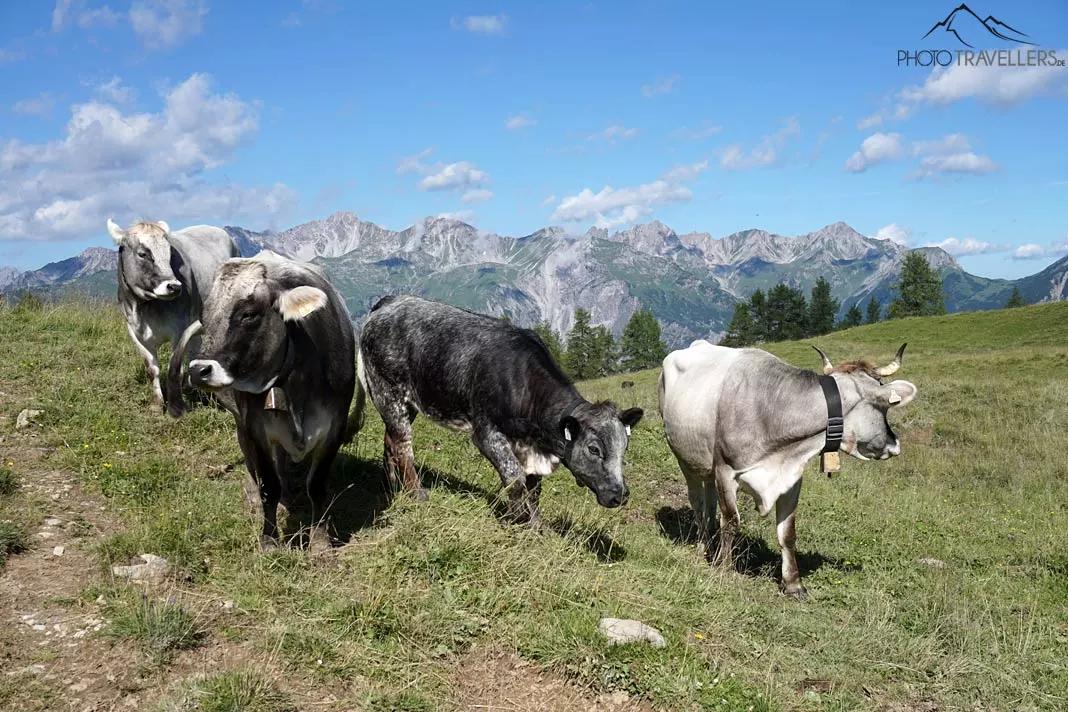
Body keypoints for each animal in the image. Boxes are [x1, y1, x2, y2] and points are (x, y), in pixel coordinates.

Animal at [108, 218, 239, 416]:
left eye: (169, 253)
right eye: (142, 254)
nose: (174, 286)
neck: (145, 308)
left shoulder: (179, 329)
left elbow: (174, 367)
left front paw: (178, 406)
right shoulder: (134, 332)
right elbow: (152, 369)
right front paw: (156, 405)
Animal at [178, 251, 357, 550]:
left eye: (249, 314)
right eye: (204, 316)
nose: (198, 371)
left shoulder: (334, 427)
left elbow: (316, 486)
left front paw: (320, 539)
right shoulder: (256, 428)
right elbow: (268, 486)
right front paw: (269, 539)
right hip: (241, 422)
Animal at [356, 296, 643, 525]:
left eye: (625, 447)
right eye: (594, 449)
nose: (620, 495)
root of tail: (392, 301)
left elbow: (533, 488)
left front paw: (536, 525)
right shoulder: (486, 433)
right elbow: (514, 477)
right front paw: (519, 519)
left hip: (408, 402)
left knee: (390, 439)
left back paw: (394, 487)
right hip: (388, 391)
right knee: (403, 445)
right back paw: (416, 493)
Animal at [658, 341, 916, 597]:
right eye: (885, 407)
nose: (895, 443)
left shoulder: (791, 478)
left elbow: (787, 533)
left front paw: (793, 584)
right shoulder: (725, 471)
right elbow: (731, 523)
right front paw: (724, 568)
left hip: (707, 467)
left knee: (710, 504)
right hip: (684, 457)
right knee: (698, 502)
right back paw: (703, 544)